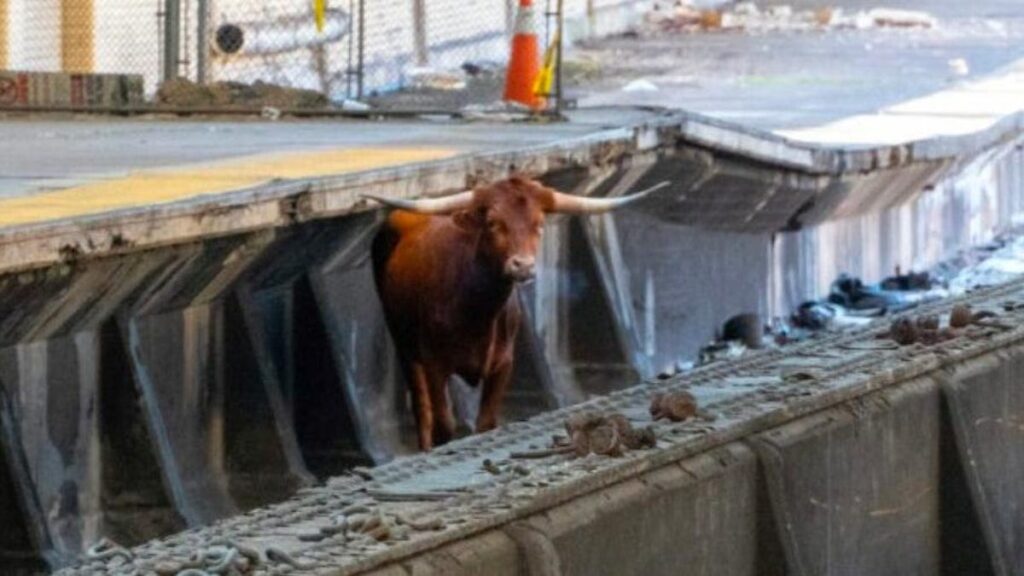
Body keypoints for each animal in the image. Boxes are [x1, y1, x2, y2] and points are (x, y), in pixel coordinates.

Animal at [368, 175, 663, 448]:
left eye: (539, 224)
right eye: (493, 223)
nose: (523, 266)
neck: (474, 313)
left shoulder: (503, 364)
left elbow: (486, 423)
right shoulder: (434, 363)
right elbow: (443, 425)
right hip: (405, 347)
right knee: (422, 410)